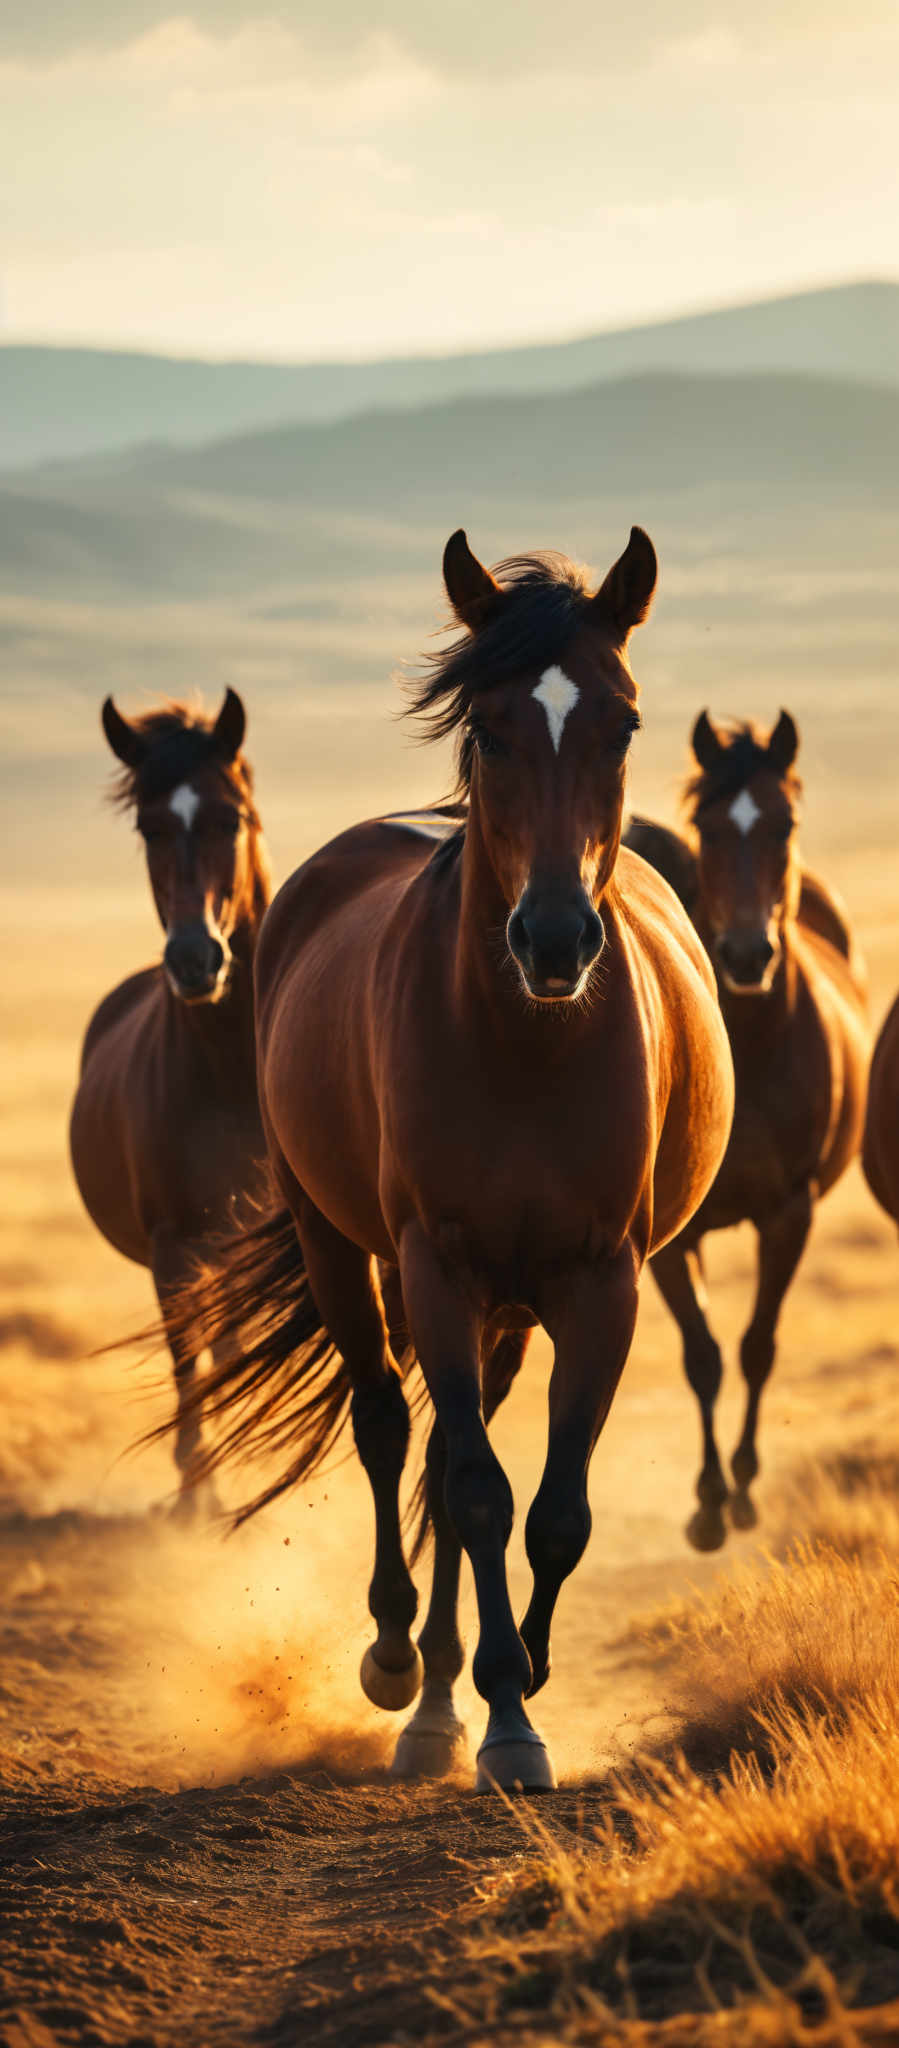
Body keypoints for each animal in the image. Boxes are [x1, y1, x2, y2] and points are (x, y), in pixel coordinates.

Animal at [156, 532, 733, 1794]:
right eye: (487, 728)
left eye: (621, 723)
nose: (554, 937)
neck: (524, 1042)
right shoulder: (436, 1261)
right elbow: (473, 1485)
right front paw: (501, 1708)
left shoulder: (600, 1278)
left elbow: (553, 1507)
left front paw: (523, 1680)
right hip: (344, 1246)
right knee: (387, 1425)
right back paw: (400, 1670)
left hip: (507, 1302)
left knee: (439, 1442)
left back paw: (440, 1684)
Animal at [626, 712, 872, 1540]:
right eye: (705, 826)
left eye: (783, 823)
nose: (742, 953)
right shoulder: (672, 1236)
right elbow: (700, 1354)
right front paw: (706, 1502)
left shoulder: (789, 1211)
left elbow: (756, 1346)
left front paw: (741, 1484)